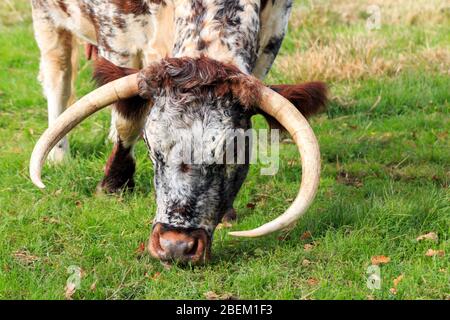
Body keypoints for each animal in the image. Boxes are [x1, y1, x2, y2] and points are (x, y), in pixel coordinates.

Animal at [30, 0, 326, 264]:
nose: (176, 246)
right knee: (58, 76)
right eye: (153, 151)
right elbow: (127, 121)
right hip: (46, 19)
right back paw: (60, 156)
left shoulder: (272, 35)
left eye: (231, 151)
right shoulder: (117, 35)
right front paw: (114, 183)